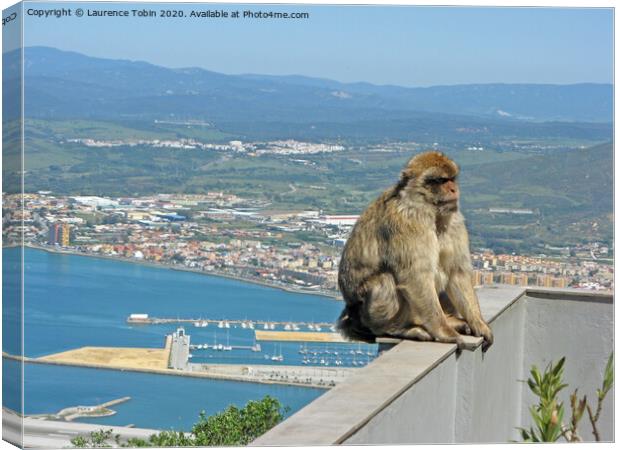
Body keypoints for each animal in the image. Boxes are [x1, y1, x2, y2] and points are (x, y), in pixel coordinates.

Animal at [336, 151, 492, 352]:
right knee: (385, 281)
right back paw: (397, 329)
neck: (430, 211)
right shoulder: (407, 223)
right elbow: (416, 277)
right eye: (439, 180)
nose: (453, 189)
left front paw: (478, 323)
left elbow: (457, 273)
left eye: (451, 179)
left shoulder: (454, 221)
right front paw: (444, 332)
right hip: (366, 315)